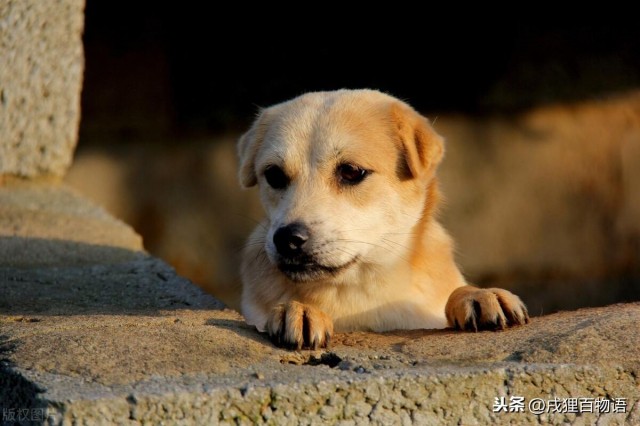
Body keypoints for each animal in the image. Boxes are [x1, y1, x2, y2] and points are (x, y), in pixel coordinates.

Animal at [238, 90, 528, 350]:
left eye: (351, 171)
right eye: (274, 175)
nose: (287, 239)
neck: (361, 291)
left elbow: (458, 291)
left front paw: (480, 295)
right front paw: (298, 309)